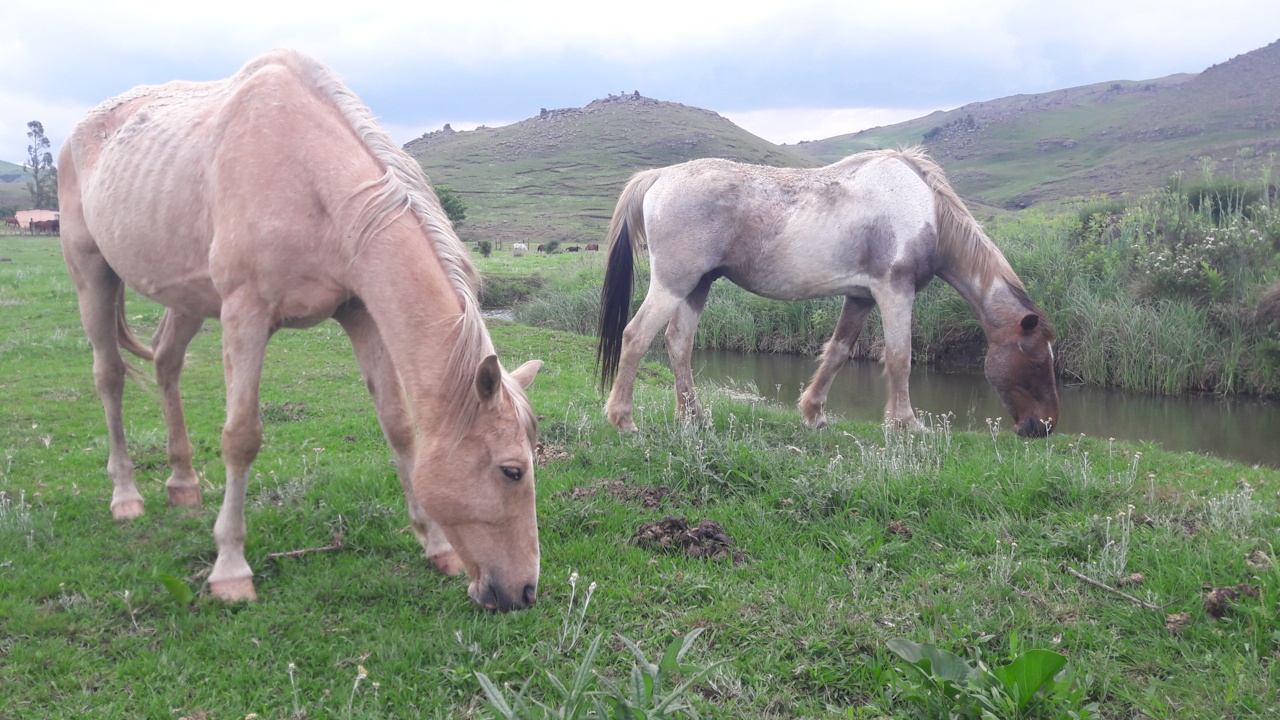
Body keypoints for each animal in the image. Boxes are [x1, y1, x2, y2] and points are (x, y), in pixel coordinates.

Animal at [58, 50, 544, 611]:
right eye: (511, 471)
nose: (524, 592)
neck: (309, 176)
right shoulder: (244, 315)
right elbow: (241, 437)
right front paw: (230, 569)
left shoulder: (361, 313)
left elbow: (398, 426)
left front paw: (437, 546)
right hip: (92, 274)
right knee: (110, 376)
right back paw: (126, 495)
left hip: (186, 298)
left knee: (165, 363)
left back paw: (183, 484)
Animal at [596, 147, 1058, 438]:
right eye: (1036, 360)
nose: (1045, 427)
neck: (924, 208)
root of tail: (659, 175)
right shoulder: (895, 291)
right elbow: (900, 358)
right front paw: (906, 424)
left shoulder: (861, 297)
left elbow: (837, 352)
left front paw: (814, 415)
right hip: (673, 284)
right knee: (636, 337)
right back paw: (623, 420)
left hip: (698, 286)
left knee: (678, 343)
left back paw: (693, 417)